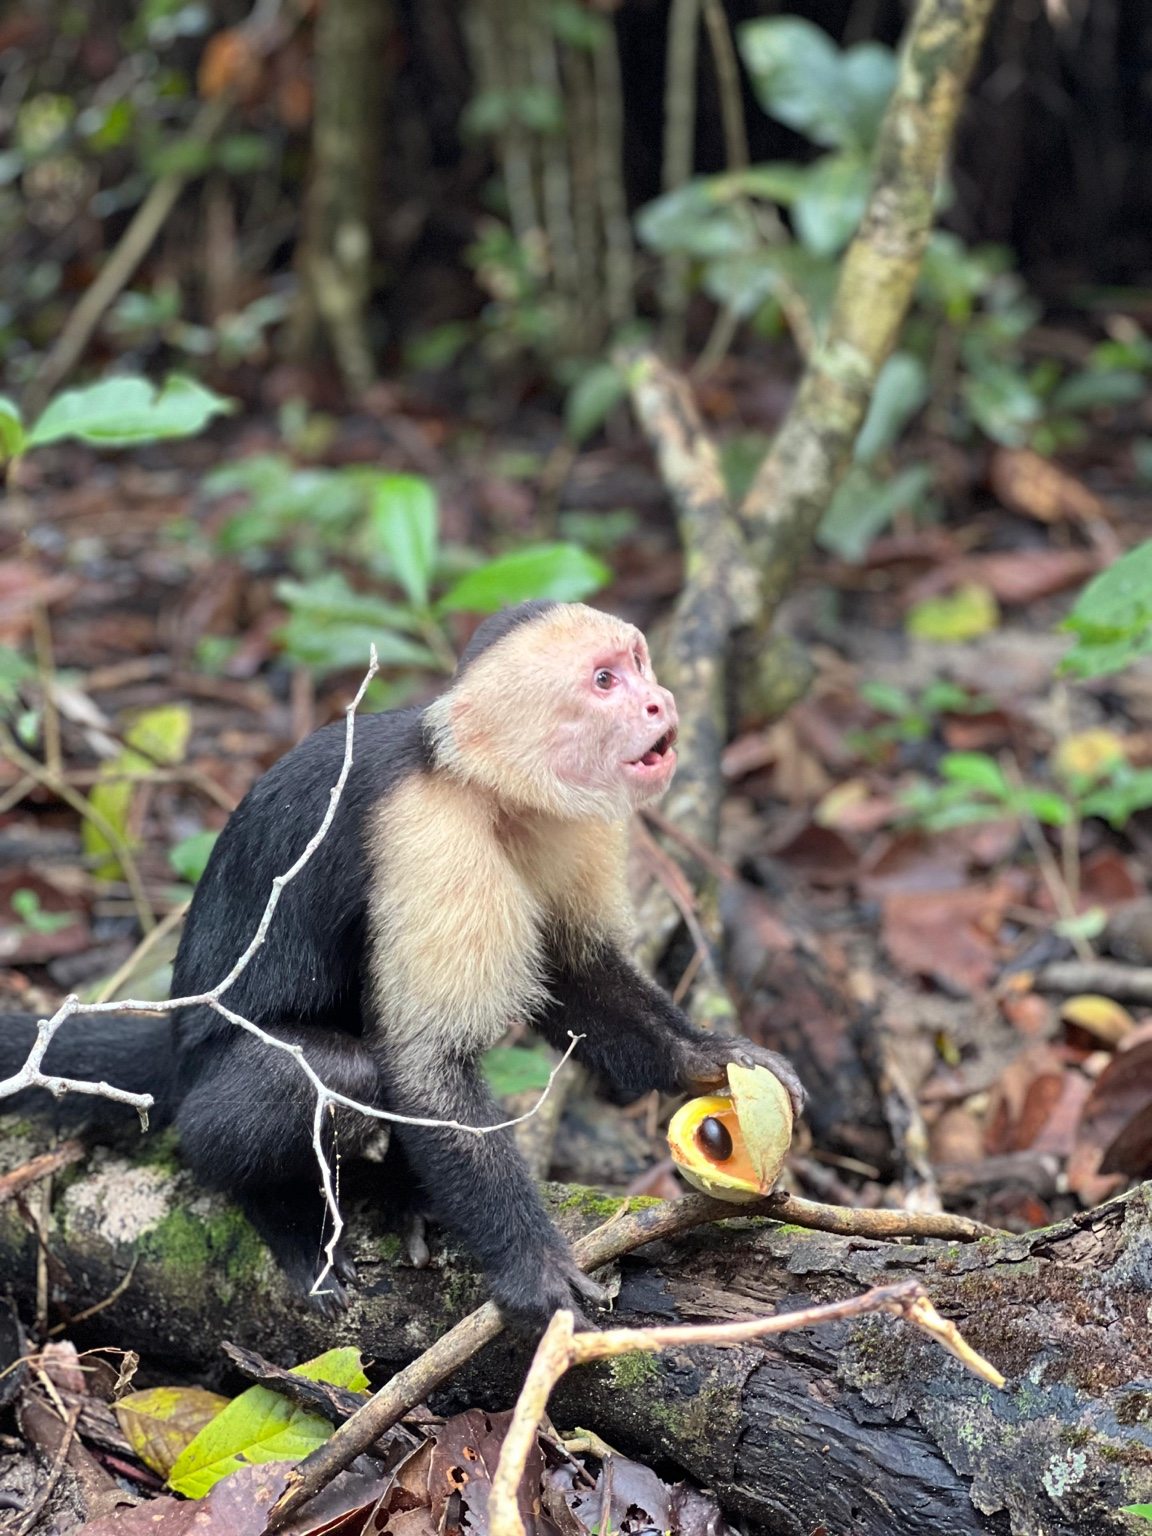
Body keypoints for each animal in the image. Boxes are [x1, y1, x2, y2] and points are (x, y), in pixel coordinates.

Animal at [0, 601, 803, 1326]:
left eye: (639, 664)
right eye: (605, 681)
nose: (659, 700)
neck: (484, 788)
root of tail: (175, 1044)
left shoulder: (566, 826)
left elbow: (579, 979)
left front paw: (710, 1055)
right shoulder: (429, 835)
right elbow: (425, 1063)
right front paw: (530, 1262)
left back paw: (402, 1195)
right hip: (204, 1081)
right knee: (332, 1077)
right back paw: (278, 1211)